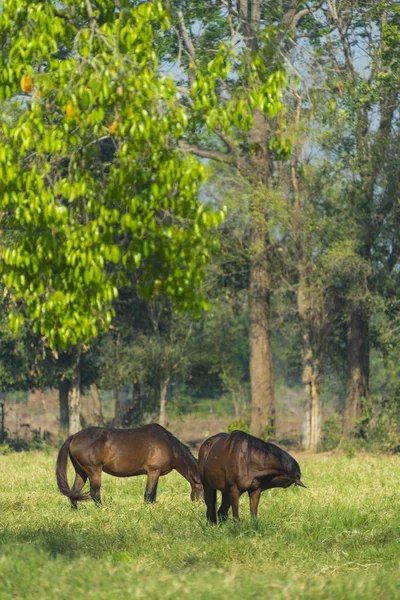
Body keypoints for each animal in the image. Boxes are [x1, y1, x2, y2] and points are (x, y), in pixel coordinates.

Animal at [56, 422, 203, 510]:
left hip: (81, 472)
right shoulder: (153, 471)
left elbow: (153, 495)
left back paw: (75, 510)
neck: (170, 446)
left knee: (74, 492)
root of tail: (74, 437)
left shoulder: (156, 473)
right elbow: (148, 494)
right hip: (93, 470)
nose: (200, 505)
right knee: (94, 493)